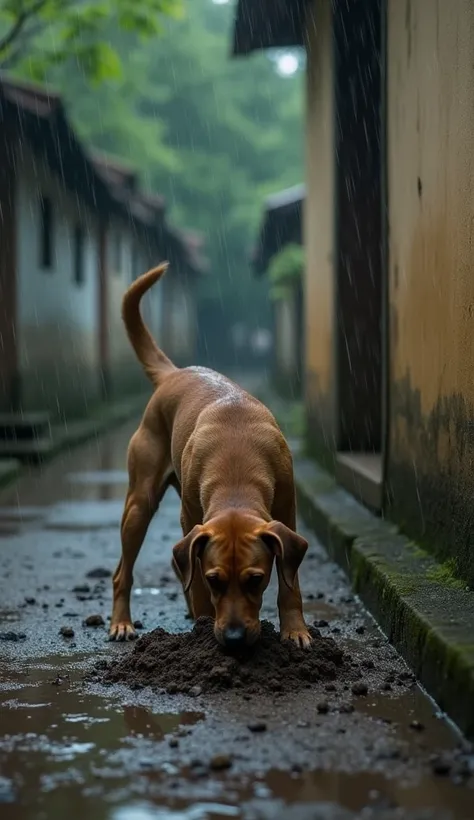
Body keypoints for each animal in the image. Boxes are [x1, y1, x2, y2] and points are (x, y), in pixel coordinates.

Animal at [109, 262, 312, 648]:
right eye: (216, 579)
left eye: (256, 579)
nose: (233, 637)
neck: (237, 473)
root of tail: (174, 373)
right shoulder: (193, 522)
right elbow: (196, 579)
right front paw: (204, 629)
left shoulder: (287, 511)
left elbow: (290, 581)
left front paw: (295, 629)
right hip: (139, 503)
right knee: (124, 572)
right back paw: (122, 622)